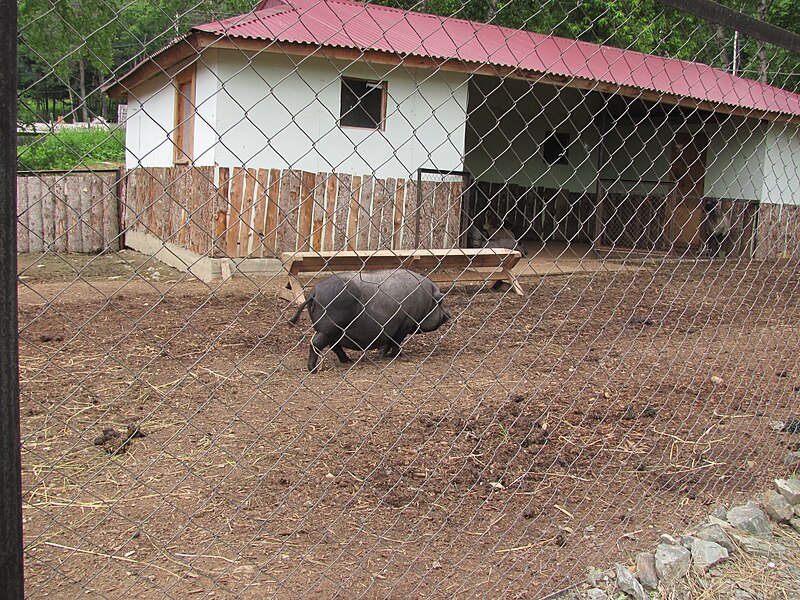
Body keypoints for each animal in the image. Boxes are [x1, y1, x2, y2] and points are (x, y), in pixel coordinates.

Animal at [290, 270, 450, 372]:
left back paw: (348, 360)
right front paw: (399, 356)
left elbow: (388, 342)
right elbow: (397, 342)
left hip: (332, 331)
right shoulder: (405, 324)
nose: (449, 314)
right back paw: (313, 370)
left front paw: (381, 354)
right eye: (440, 302)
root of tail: (315, 291)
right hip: (329, 327)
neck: (427, 300)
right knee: (316, 343)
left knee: (333, 346)